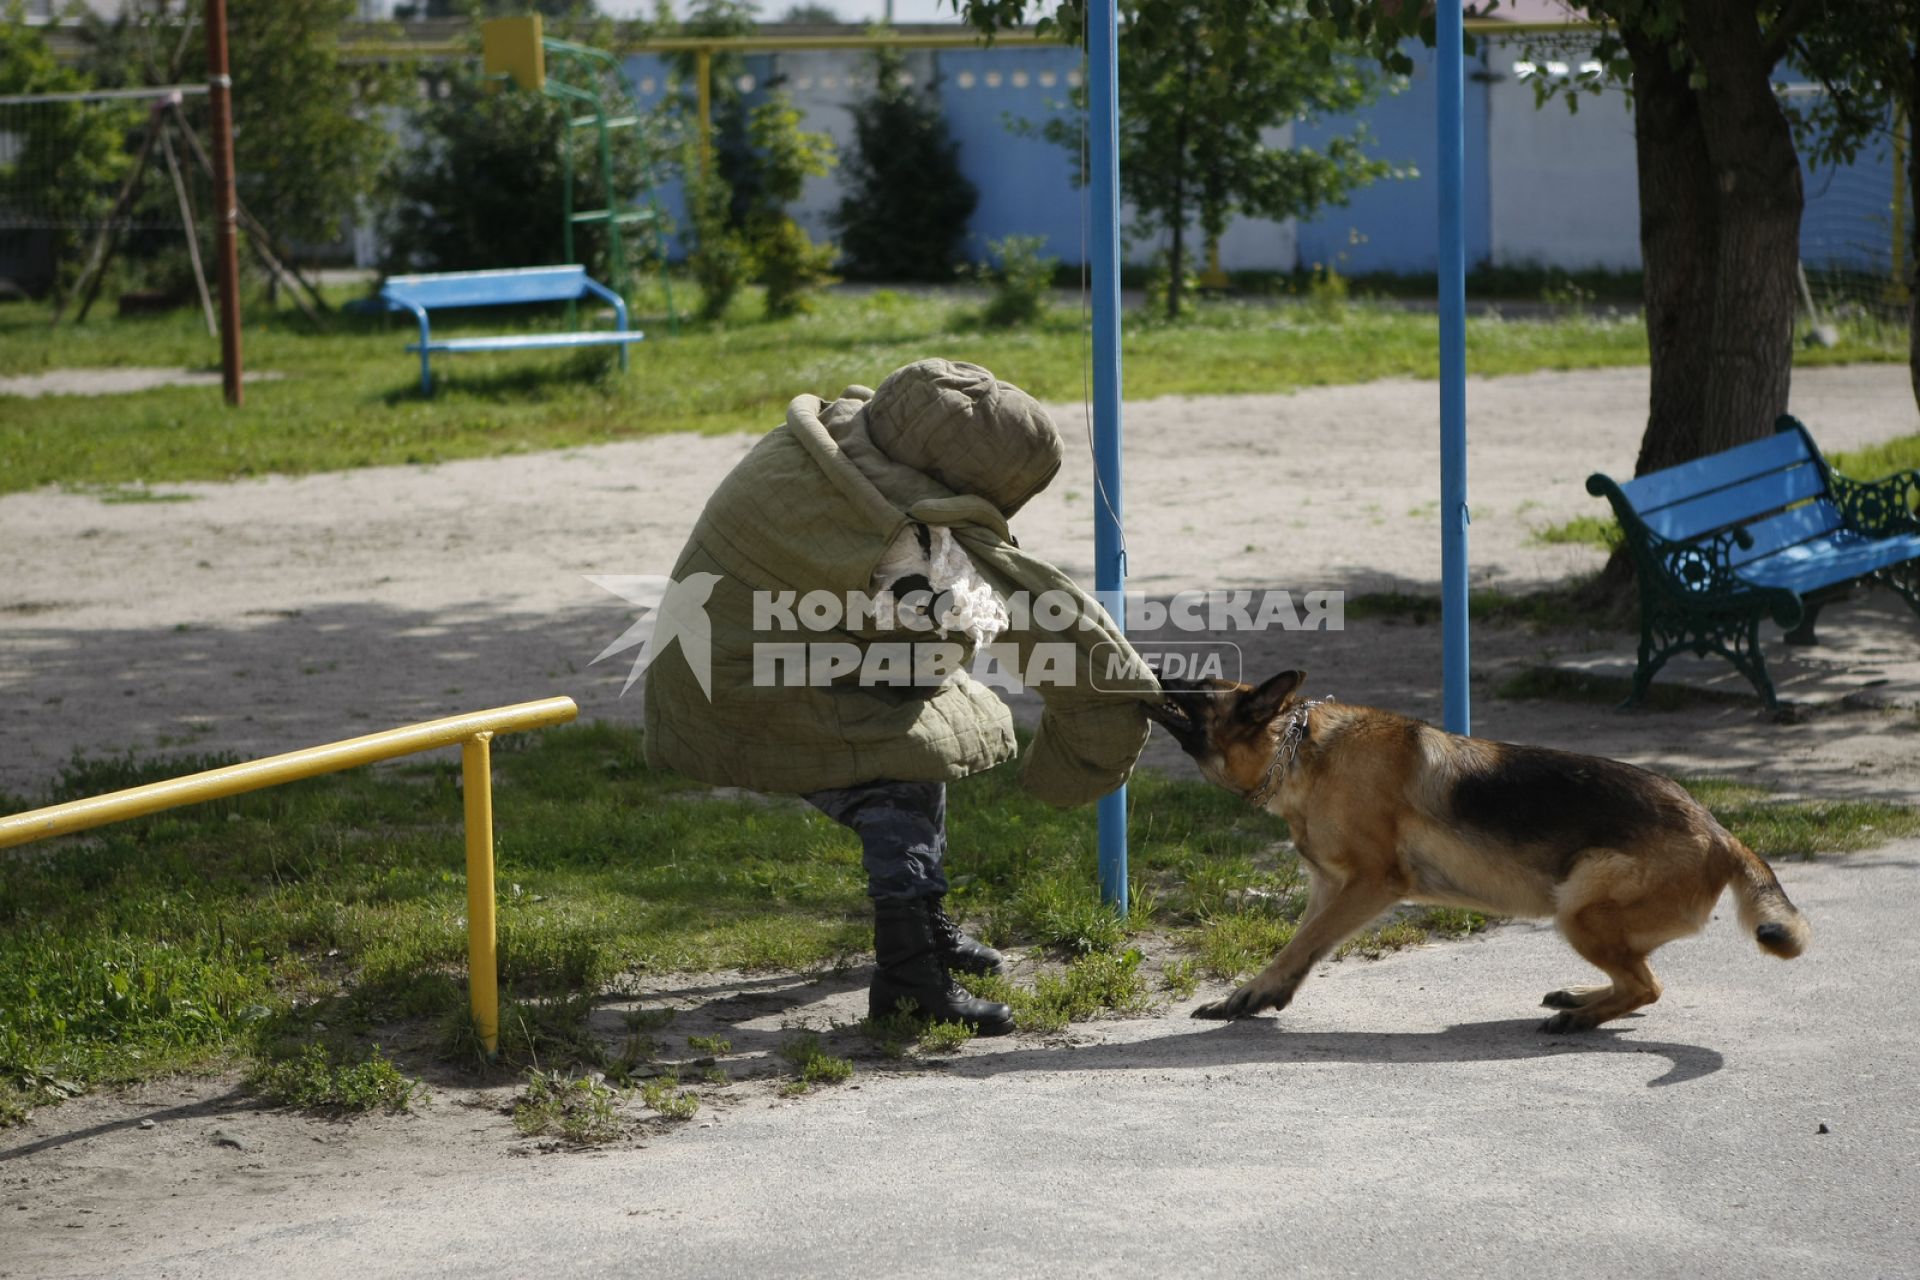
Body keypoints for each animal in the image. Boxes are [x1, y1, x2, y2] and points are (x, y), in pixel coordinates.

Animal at [1144, 671, 1804, 1028]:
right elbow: (1300, 945)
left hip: (1579, 908)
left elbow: (1302, 943)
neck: (1303, 750)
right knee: (1639, 982)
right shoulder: (1329, 886)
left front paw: (1252, 995)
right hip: (1590, 916)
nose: (1152, 669)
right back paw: (1583, 999)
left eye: (1198, 690)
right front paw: (1257, 994)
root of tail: (1719, 831)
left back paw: (1580, 1016)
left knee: (1647, 986)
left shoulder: (1370, 884)